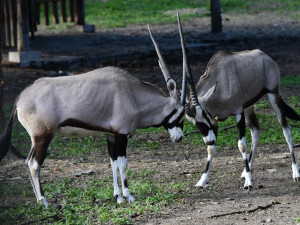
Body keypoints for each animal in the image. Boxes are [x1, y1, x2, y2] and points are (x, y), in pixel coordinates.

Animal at [0, 25, 188, 206]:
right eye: (182, 113)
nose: (179, 138)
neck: (134, 94)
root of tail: (20, 98)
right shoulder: (122, 135)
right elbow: (123, 163)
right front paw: (128, 196)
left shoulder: (111, 135)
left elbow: (113, 163)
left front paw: (118, 196)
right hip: (43, 136)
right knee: (34, 164)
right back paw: (44, 202)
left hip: (36, 138)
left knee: (28, 162)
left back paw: (38, 201)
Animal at [177, 13, 298, 189]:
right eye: (191, 121)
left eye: (203, 114)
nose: (209, 139)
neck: (219, 80)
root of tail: (266, 57)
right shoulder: (216, 119)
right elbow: (211, 149)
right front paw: (202, 180)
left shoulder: (237, 112)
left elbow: (241, 144)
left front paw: (249, 183)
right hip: (249, 107)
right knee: (256, 130)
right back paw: (246, 171)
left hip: (272, 96)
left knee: (286, 130)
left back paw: (295, 172)